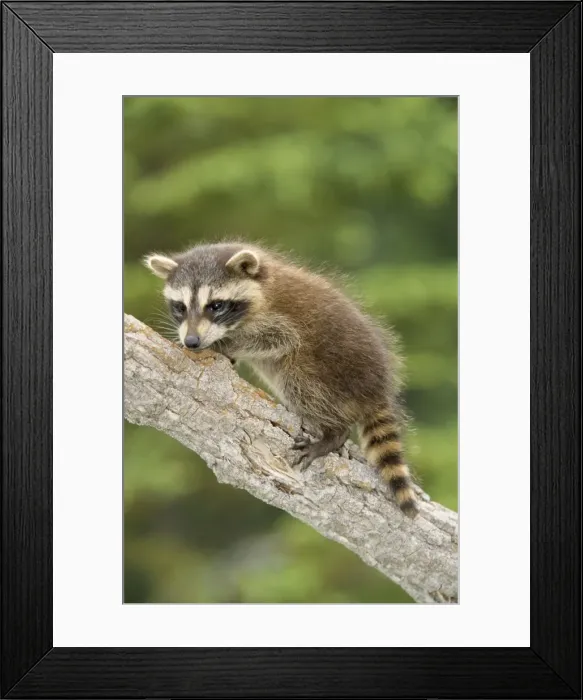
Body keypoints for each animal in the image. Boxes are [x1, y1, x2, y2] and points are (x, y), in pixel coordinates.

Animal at [145, 241, 419, 517]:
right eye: (180, 307)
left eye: (216, 305)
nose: (191, 342)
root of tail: (377, 389)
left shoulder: (280, 319)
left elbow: (279, 340)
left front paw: (225, 345)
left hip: (329, 369)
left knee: (298, 381)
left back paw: (333, 433)